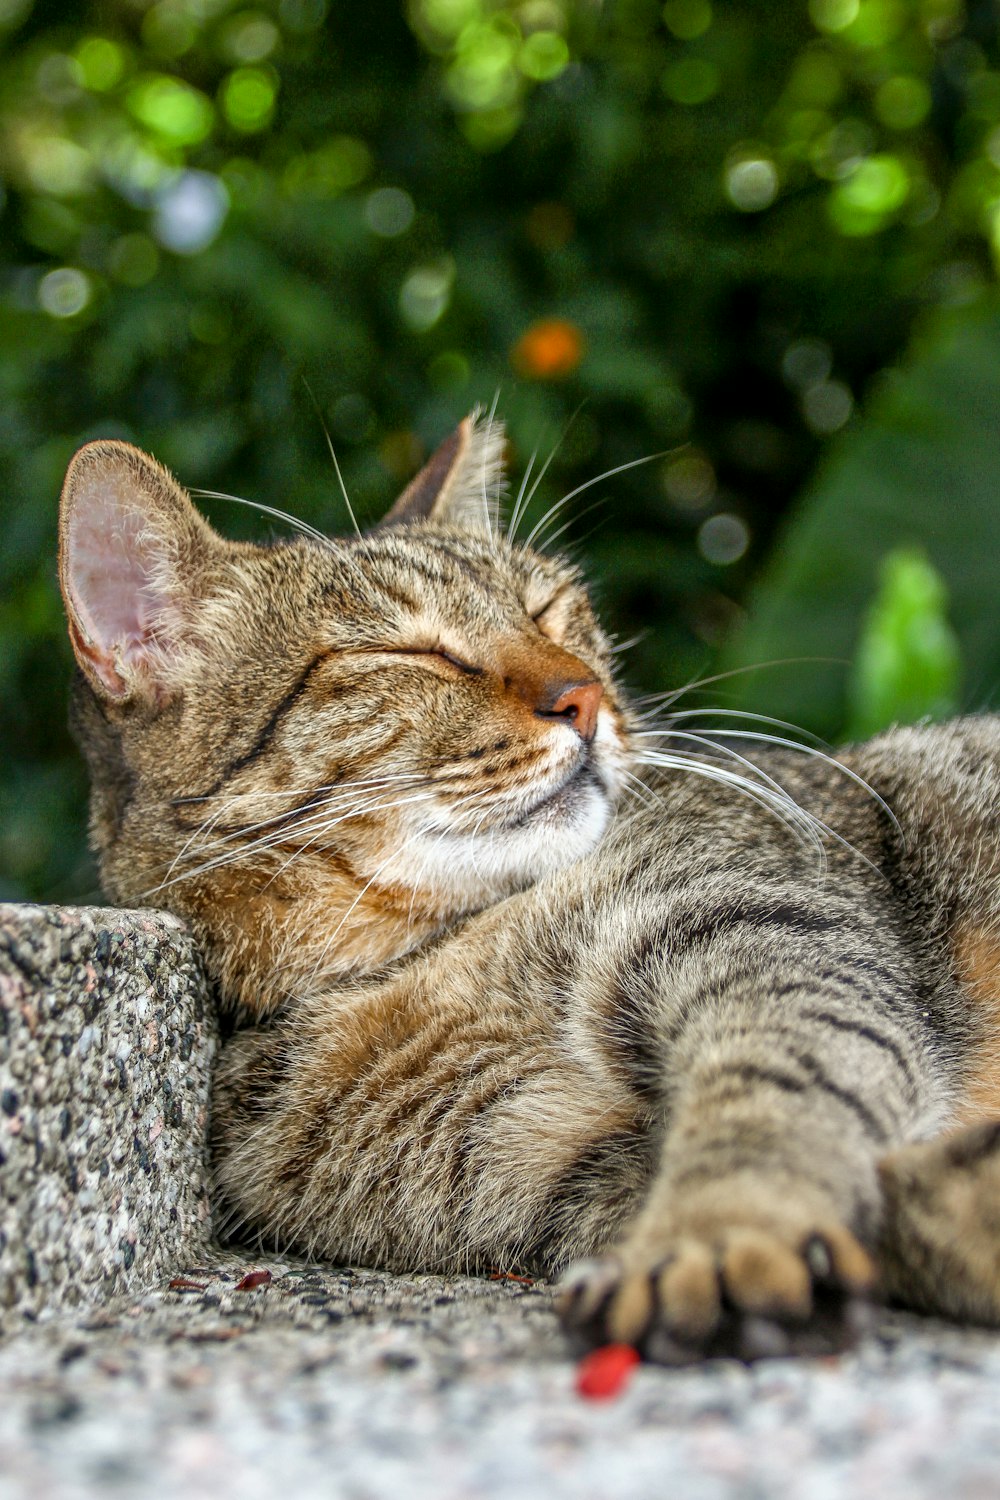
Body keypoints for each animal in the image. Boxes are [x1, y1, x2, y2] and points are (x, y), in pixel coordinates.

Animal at [56, 411, 1000, 1362]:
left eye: (550, 610)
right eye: (411, 650)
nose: (583, 697)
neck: (426, 952)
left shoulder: (763, 925)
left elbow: (775, 1096)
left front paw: (721, 1233)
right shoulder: (535, 1146)